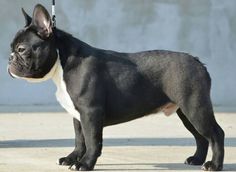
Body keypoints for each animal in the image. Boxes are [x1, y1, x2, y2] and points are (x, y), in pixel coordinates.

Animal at [7, 3, 225, 171]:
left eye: (21, 49)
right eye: (12, 49)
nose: (9, 59)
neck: (62, 63)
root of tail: (197, 61)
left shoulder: (90, 113)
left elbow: (92, 141)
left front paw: (85, 164)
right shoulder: (78, 116)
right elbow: (79, 139)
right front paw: (72, 158)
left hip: (195, 108)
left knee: (215, 134)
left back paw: (214, 165)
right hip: (186, 112)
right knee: (201, 137)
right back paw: (196, 160)